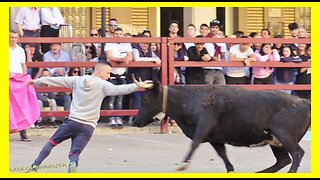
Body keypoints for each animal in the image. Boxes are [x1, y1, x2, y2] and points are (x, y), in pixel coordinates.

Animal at [133, 81, 310, 173]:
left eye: (145, 100)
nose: (135, 121)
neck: (191, 99)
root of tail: (304, 102)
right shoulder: (214, 138)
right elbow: (223, 155)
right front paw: (230, 169)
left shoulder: (203, 128)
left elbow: (194, 144)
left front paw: (183, 165)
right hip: (275, 141)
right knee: (283, 160)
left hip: (285, 136)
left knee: (297, 154)